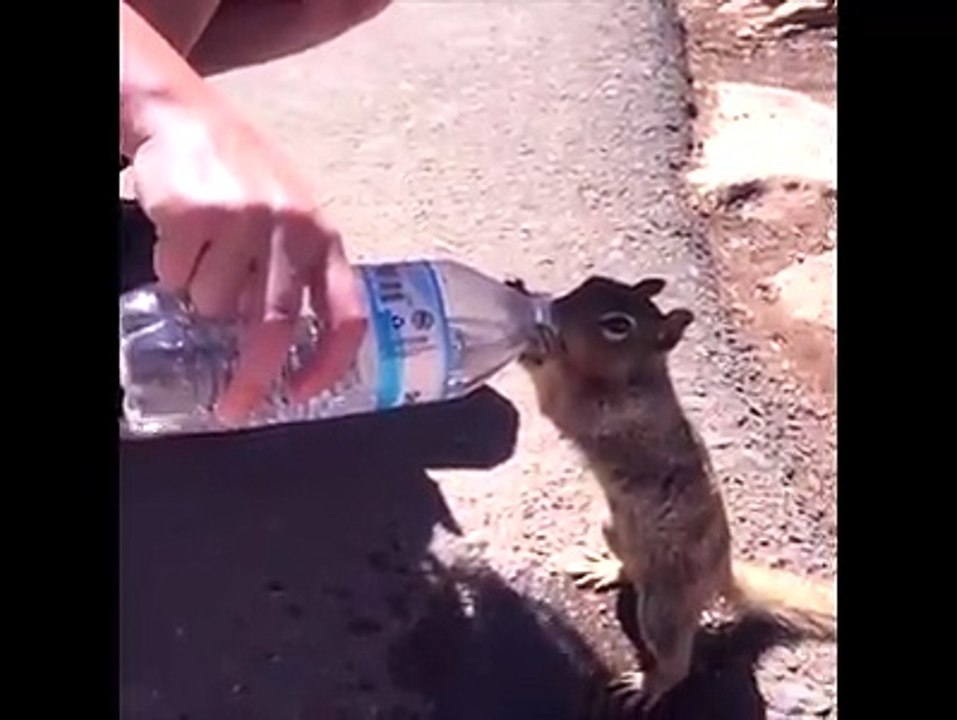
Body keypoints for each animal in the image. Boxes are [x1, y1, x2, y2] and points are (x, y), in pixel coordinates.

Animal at [505, 275, 836, 712]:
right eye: (590, 283)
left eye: (617, 325)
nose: (556, 311)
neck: (640, 376)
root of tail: (721, 574)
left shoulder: (603, 411)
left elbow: (557, 394)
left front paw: (536, 341)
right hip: (614, 529)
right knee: (631, 570)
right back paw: (606, 568)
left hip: (664, 606)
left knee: (676, 660)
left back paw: (649, 684)